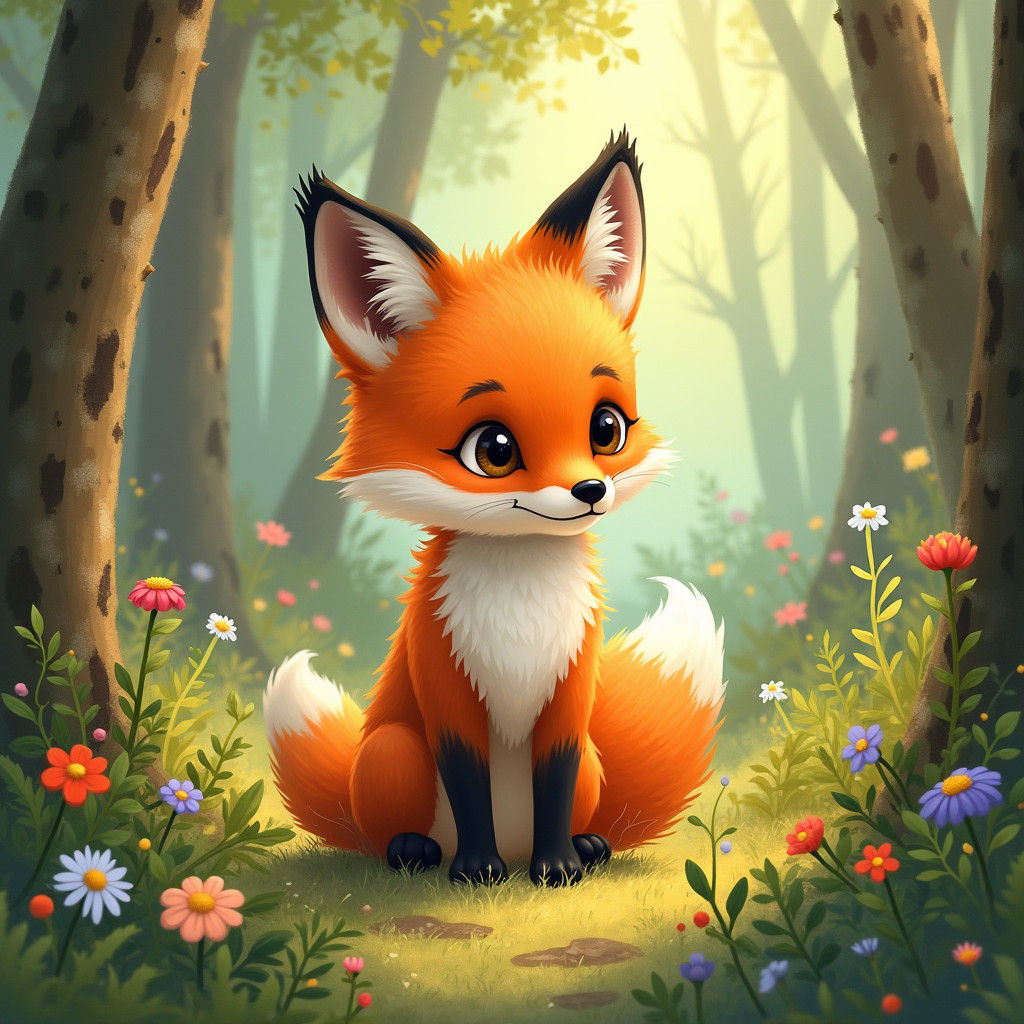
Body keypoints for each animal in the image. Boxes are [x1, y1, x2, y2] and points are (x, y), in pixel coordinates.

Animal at [263, 130, 725, 887]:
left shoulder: (570, 694)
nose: (590, 492)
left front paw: (557, 866)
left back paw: (586, 848)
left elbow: (554, 779)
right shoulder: (446, 688)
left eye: (606, 429)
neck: (521, 608)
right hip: (392, 751)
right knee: (387, 830)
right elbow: (468, 779)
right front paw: (476, 871)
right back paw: (418, 853)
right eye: (495, 449)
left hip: (593, 759)